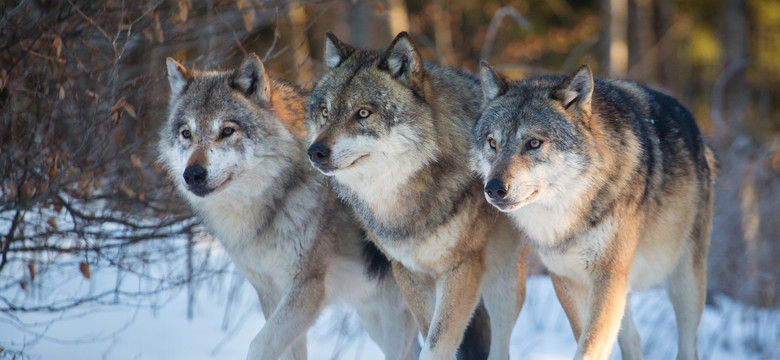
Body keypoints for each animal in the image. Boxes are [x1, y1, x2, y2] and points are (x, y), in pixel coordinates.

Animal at [158, 53, 420, 360]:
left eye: (227, 131)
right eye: (186, 133)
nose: (193, 174)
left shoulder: (307, 290)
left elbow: (259, 345)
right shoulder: (270, 291)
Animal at [304, 31, 532, 360]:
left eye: (363, 113)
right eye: (325, 112)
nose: (315, 152)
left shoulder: (461, 269)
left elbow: (437, 343)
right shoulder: (407, 272)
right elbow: (430, 334)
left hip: (504, 281)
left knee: (501, 344)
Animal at [472, 62, 716, 360]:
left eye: (533, 143)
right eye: (492, 143)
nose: (493, 188)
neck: (567, 215)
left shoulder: (607, 276)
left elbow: (589, 345)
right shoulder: (567, 279)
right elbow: (587, 338)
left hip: (684, 282)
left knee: (688, 344)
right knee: (633, 338)